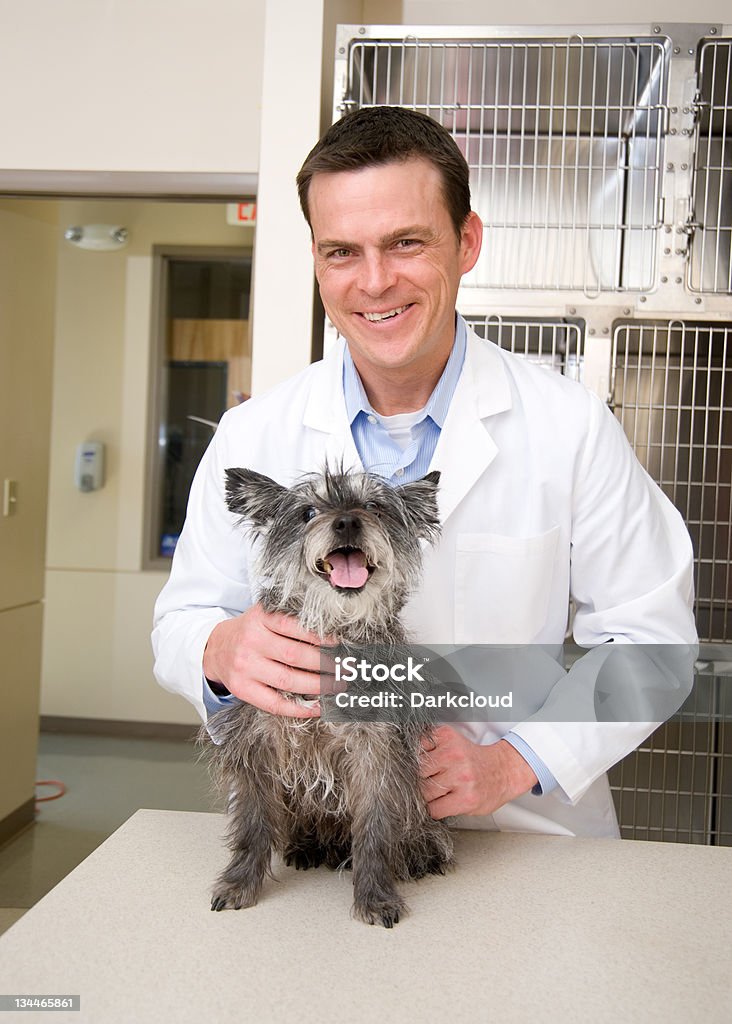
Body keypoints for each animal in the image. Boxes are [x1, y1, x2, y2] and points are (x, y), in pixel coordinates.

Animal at [200, 466, 452, 929]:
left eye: (374, 507)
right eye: (308, 512)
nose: (347, 521)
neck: (336, 627)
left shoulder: (377, 756)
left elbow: (375, 831)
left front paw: (374, 896)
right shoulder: (258, 748)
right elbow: (252, 826)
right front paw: (239, 882)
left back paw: (420, 851)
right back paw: (308, 846)